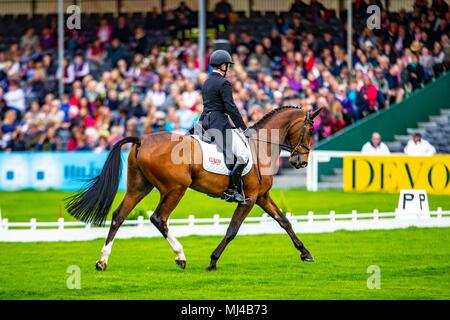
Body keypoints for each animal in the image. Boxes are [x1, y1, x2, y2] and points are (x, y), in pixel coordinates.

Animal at [65, 106, 322, 272]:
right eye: (310, 130)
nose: (301, 162)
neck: (260, 146)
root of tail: (142, 140)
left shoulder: (262, 197)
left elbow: (284, 221)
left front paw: (305, 253)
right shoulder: (249, 199)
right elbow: (232, 230)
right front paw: (213, 261)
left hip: (138, 188)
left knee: (119, 216)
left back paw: (102, 261)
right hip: (175, 189)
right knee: (159, 218)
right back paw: (181, 257)